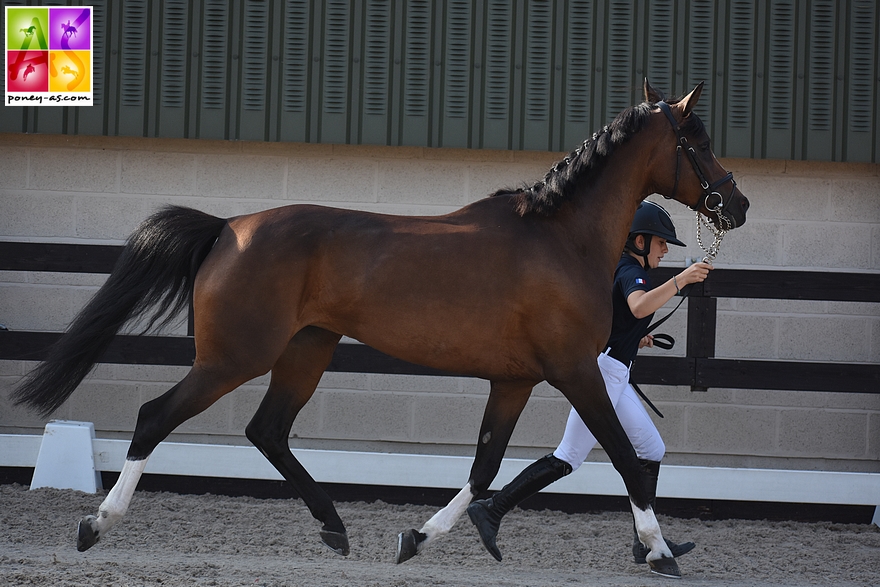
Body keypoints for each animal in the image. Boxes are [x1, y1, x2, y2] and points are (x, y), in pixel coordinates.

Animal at [13, 79, 744, 580]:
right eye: (700, 143)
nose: (735, 204)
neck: (559, 239)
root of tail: (228, 227)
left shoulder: (514, 379)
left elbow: (484, 468)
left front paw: (418, 538)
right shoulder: (573, 369)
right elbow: (623, 456)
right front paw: (661, 551)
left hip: (307, 349)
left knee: (268, 430)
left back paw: (335, 529)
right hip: (233, 357)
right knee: (154, 417)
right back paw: (95, 524)